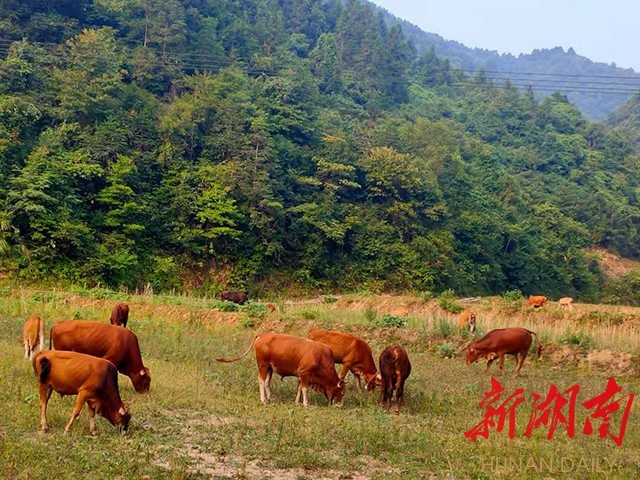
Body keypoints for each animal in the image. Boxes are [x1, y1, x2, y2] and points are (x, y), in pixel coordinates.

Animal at [216, 332, 344, 406]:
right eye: (342, 392)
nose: (340, 405)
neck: (321, 357)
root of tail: (262, 335)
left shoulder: (300, 375)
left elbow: (299, 388)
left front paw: (297, 402)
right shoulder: (304, 373)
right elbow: (305, 389)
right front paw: (306, 404)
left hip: (270, 368)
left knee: (267, 382)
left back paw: (269, 398)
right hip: (263, 365)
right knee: (261, 380)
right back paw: (263, 400)